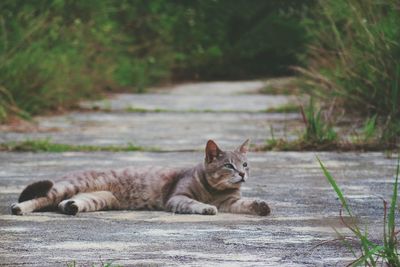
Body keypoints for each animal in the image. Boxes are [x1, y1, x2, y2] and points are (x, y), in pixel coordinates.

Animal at [10, 140, 272, 218]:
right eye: (229, 165)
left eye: (245, 164)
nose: (243, 174)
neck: (216, 190)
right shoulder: (178, 197)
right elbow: (194, 203)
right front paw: (206, 207)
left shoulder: (230, 201)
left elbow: (244, 203)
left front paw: (261, 206)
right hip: (71, 185)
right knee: (43, 197)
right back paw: (20, 208)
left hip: (98, 198)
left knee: (64, 202)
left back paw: (71, 207)